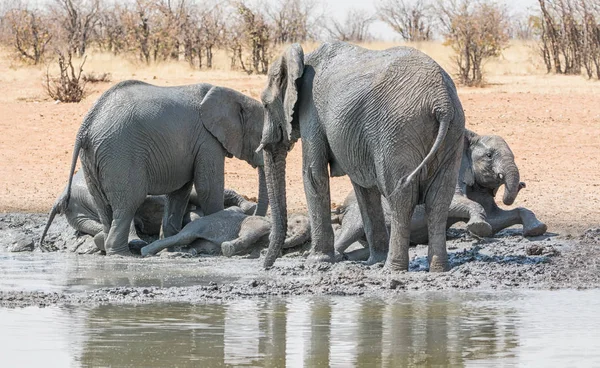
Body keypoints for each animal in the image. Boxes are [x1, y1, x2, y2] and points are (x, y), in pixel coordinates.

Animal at [62, 80, 266, 256]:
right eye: (261, 138)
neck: (234, 96)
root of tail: (86, 126)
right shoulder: (207, 140)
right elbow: (208, 188)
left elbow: (180, 192)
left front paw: (171, 251)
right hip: (120, 154)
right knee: (129, 203)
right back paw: (123, 255)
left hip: (92, 159)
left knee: (104, 206)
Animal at [140, 208, 310, 258]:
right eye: (297, 221)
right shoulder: (256, 223)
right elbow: (248, 235)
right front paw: (227, 249)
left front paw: (262, 251)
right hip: (197, 225)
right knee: (183, 237)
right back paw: (145, 251)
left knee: (194, 245)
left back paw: (189, 253)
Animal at [256, 43, 464, 274]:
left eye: (265, 105)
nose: (265, 265)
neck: (304, 56)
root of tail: (441, 102)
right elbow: (364, 187)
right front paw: (374, 261)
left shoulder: (311, 109)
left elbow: (313, 174)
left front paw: (316, 262)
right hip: (452, 131)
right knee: (439, 200)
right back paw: (438, 269)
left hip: (398, 132)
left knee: (402, 197)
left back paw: (392, 269)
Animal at [332, 129, 548, 258]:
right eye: (489, 156)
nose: (522, 184)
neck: (471, 138)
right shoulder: (454, 168)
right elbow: (452, 202)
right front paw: (478, 228)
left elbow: (495, 218)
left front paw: (536, 230)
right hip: (355, 212)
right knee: (348, 233)